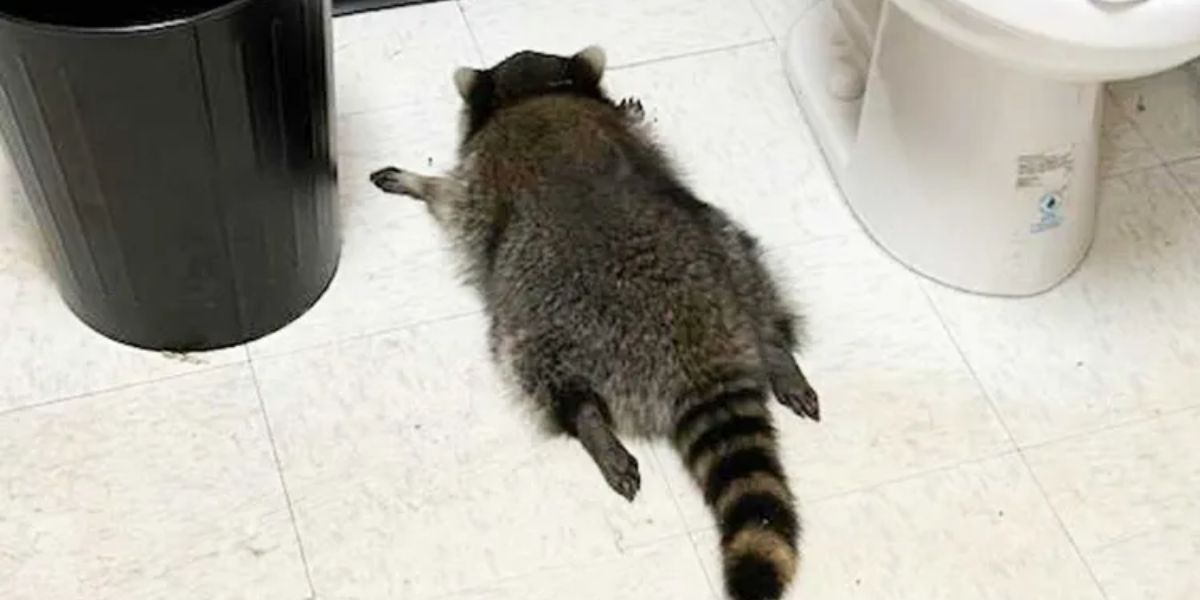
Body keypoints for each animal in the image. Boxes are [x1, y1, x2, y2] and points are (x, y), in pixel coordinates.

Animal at [370, 46, 820, 600]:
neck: (536, 94)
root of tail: (700, 350)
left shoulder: (480, 179)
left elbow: (453, 200)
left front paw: (420, 182)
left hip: (547, 319)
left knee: (535, 365)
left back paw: (588, 420)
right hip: (727, 251)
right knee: (751, 269)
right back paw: (776, 349)